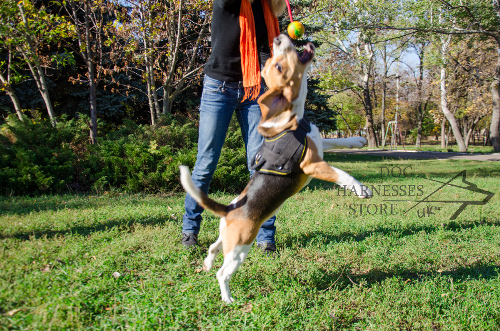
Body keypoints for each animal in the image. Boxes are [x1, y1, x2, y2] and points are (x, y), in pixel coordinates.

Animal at [180, 35, 372, 304]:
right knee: (223, 273)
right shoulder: (313, 165)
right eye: (279, 66)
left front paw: (358, 140)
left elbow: (337, 141)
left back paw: (207, 264)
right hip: (240, 247)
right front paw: (361, 189)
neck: (292, 119)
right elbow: (341, 174)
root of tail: (230, 209)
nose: (278, 38)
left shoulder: (318, 144)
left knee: (212, 248)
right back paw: (228, 299)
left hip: (226, 239)